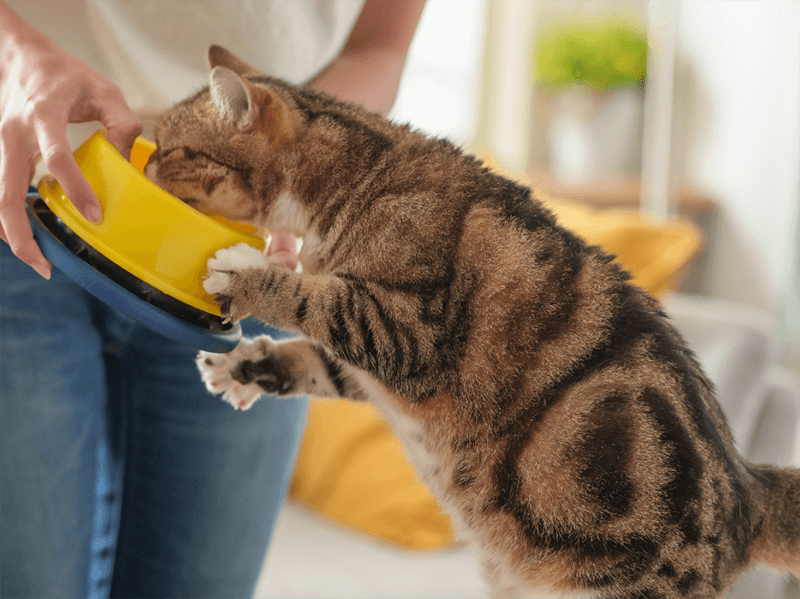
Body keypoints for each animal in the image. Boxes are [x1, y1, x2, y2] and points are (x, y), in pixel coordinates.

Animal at [145, 47, 800, 599]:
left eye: (170, 148)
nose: (143, 164)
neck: (361, 171)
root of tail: (748, 489)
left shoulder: (407, 331)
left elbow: (311, 300)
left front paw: (245, 274)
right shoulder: (373, 359)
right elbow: (321, 357)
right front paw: (247, 365)